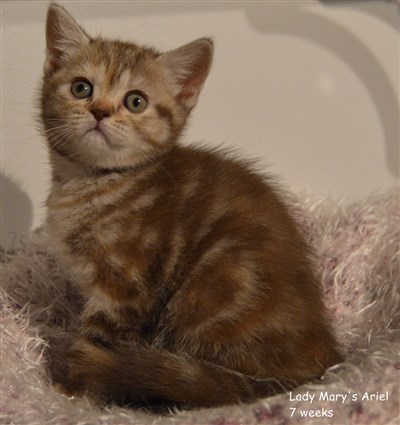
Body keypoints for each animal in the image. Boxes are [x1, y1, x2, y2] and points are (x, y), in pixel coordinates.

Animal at [40, 3, 340, 408]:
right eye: (81, 88)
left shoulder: (124, 287)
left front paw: (70, 387)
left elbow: (97, 339)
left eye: (136, 101)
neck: (90, 181)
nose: (100, 111)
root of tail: (320, 362)